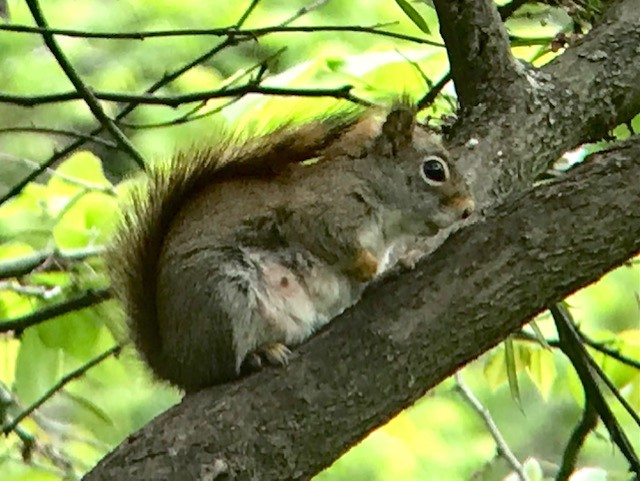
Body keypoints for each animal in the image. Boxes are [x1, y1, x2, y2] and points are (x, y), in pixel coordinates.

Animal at [106, 99, 476, 392]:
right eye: (434, 170)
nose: (468, 208)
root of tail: (177, 362)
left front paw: (400, 264)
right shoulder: (314, 217)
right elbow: (336, 249)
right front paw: (371, 266)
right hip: (222, 297)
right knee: (222, 369)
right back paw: (259, 354)